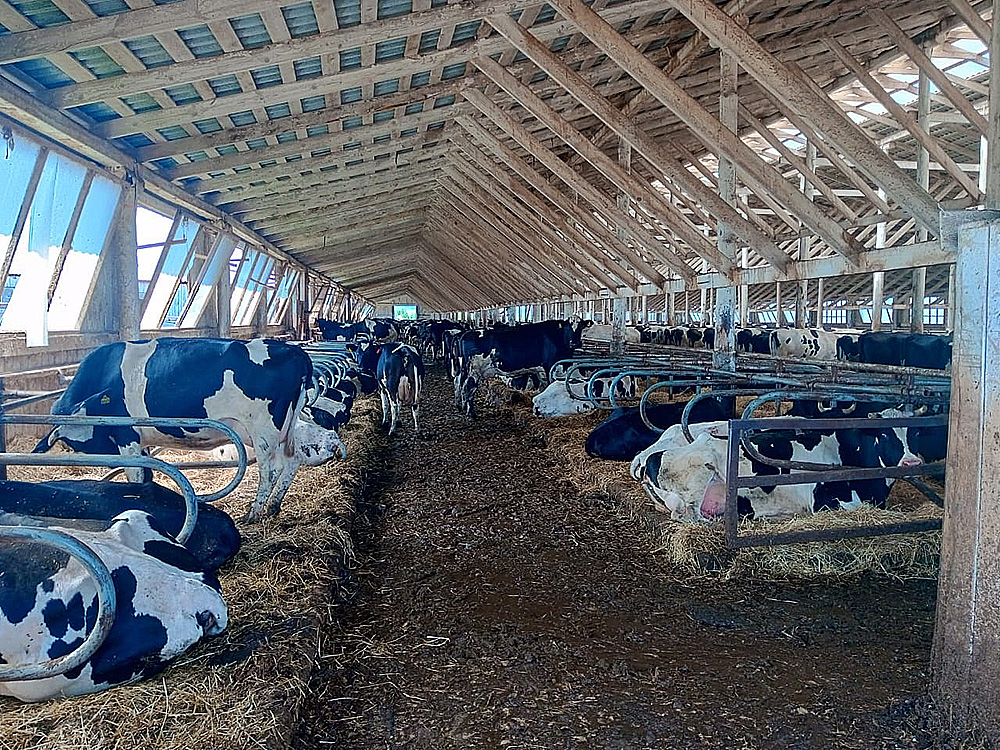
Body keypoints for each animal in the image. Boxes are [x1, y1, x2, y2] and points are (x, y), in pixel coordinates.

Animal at [33, 340, 346, 524]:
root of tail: (294, 351)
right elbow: (147, 474)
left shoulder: (127, 438)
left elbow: (135, 475)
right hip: (286, 427)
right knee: (292, 461)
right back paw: (274, 506)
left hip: (264, 430)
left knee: (270, 470)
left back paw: (254, 513)